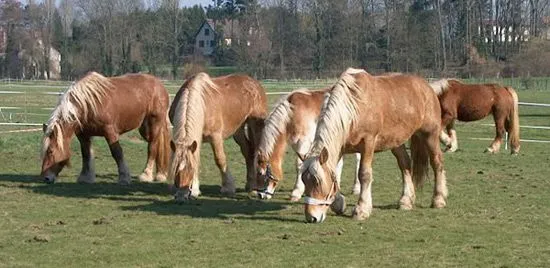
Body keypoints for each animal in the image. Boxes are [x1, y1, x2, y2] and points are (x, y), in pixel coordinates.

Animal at [41, 71, 171, 184]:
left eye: (50, 151)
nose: (45, 178)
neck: (88, 104)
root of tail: (159, 84)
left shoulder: (110, 132)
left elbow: (117, 153)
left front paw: (124, 177)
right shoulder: (83, 135)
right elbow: (86, 154)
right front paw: (86, 177)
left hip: (155, 122)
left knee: (152, 146)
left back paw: (146, 174)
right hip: (144, 128)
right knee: (156, 144)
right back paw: (160, 174)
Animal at [170, 71, 270, 201]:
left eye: (190, 169)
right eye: (175, 168)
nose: (181, 196)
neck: (201, 104)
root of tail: (254, 83)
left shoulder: (215, 137)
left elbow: (220, 160)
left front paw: (228, 187)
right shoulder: (197, 138)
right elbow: (196, 158)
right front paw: (195, 191)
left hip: (256, 124)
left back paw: (257, 187)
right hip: (238, 130)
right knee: (248, 151)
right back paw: (250, 185)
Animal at [302, 68, 448, 223]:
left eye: (317, 182)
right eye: (304, 180)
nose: (311, 217)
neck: (354, 107)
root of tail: (427, 87)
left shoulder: (368, 143)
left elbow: (364, 174)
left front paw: (362, 209)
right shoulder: (340, 147)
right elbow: (334, 172)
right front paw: (339, 204)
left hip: (430, 134)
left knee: (437, 162)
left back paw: (438, 199)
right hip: (396, 141)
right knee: (405, 165)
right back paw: (406, 200)